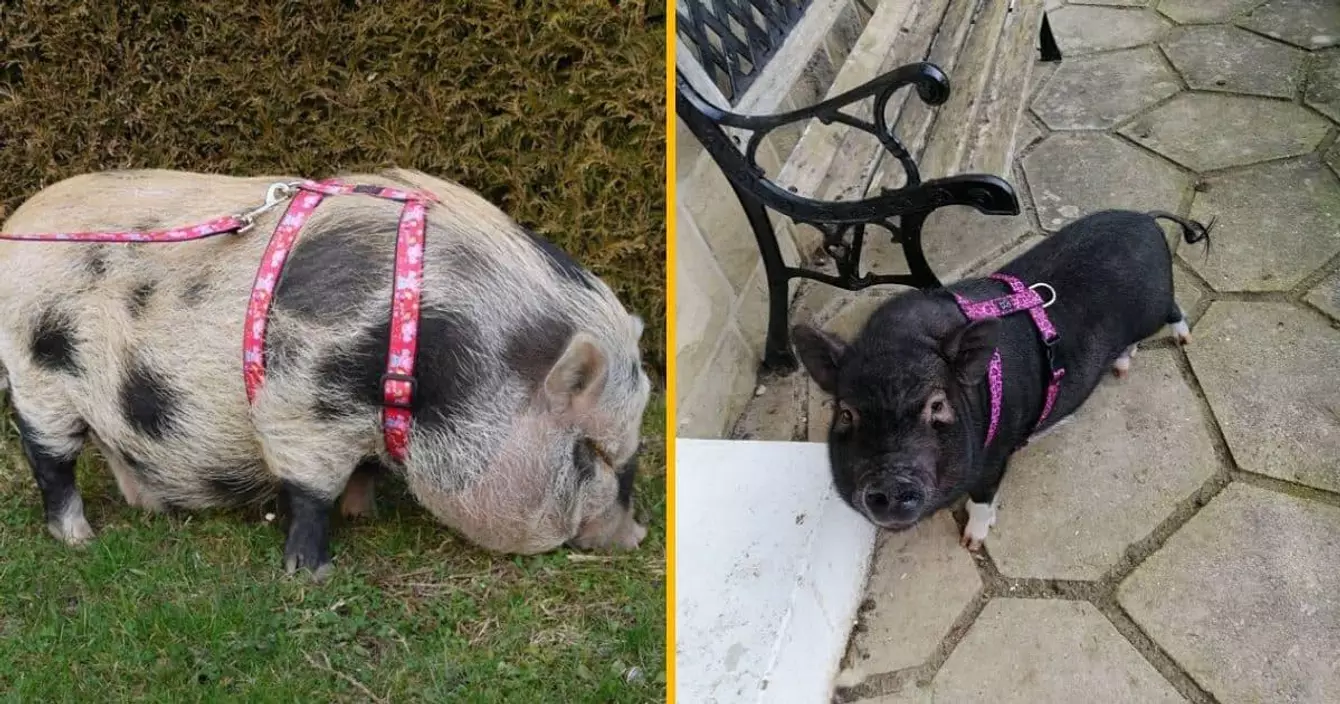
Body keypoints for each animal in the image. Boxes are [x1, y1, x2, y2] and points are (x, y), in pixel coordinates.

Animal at [0, 168, 651, 578]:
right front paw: (312, 575)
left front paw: (366, 514)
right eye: (591, 451)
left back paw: (148, 509)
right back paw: (80, 538)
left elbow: (360, 472)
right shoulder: (301, 401)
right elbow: (310, 491)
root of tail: (16, 226)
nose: (637, 536)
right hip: (35, 375)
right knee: (51, 459)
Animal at [793, 210, 1210, 551]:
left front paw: (971, 543)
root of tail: (1145, 218)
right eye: (847, 413)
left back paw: (1182, 339)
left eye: (937, 405)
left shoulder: (995, 453)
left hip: (1155, 305)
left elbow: (982, 496)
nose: (890, 482)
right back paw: (1121, 367)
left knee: (1173, 309)